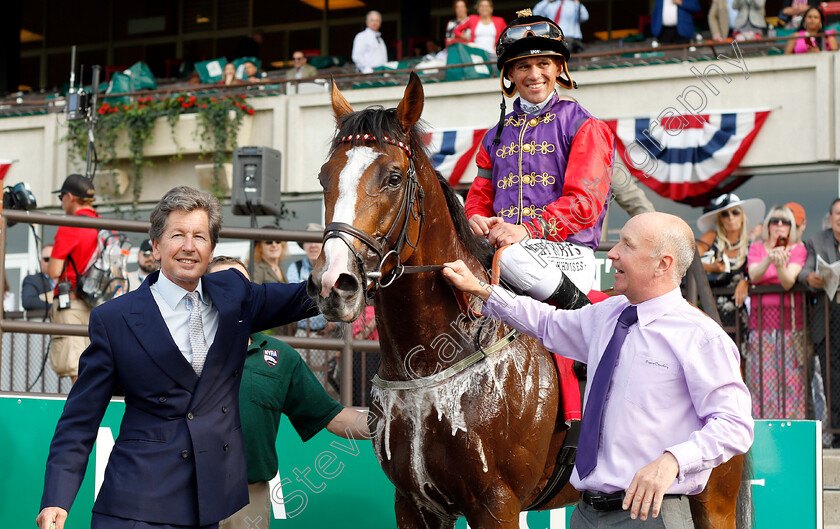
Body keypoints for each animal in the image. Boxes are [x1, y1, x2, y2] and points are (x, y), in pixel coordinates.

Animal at [306, 71, 748, 528]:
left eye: (393, 177)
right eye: (324, 177)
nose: (334, 283)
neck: (433, 359)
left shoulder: (497, 502)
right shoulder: (413, 504)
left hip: (714, 498)